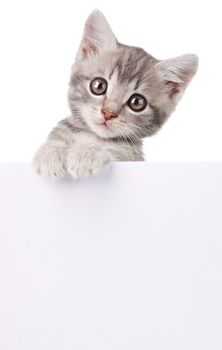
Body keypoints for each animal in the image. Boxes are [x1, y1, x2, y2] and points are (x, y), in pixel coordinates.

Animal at [33, 9, 199, 179]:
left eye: (137, 102)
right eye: (99, 86)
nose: (108, 113)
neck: (92, 136)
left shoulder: (131, 156)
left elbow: (114, 149)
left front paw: (86, 153)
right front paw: (51, 154)